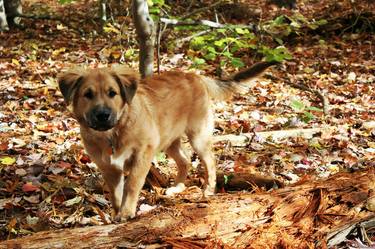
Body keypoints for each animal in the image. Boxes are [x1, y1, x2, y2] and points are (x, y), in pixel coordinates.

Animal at [58, 61, 276, 221]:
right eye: (87, 95)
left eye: (113, 93)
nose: (103, 115)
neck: (114, 133)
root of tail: (195, 76)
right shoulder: (109, 168)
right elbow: (116, 194)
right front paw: (118, 213)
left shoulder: (143, 154)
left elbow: (132, 185)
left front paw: (127, 212)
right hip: (170, 140)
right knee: (185, 160)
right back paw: (178, 187)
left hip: (198, 135)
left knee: (210, 162)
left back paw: (208, 190)